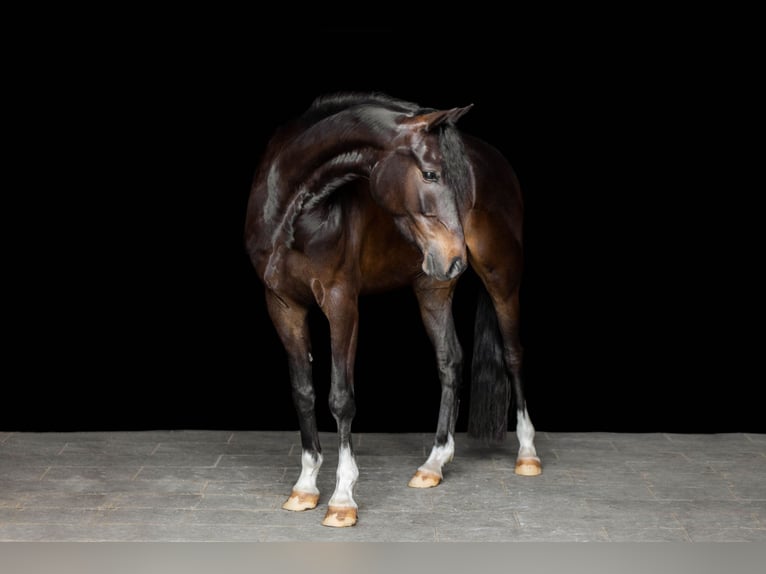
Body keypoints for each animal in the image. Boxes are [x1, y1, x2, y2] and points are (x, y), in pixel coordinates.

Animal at [244, 92, 540, 528]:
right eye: (432, 174)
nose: (456, 257)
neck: (290, 210)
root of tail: (497, 159)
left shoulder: (341, 302)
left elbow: (340, 398)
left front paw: (342, 498)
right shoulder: (282, 305)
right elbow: (303, 392)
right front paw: (305, 486)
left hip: (501, 276)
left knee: (513, 354)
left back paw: (527, 453)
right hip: (433, 287)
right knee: (450, 361)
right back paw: (433, 464)